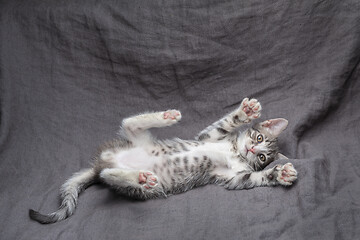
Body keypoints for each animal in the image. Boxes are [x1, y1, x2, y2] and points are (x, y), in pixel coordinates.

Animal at [29, 96, 296, 224]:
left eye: (262, 156)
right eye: (258, 136)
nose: (251, 148)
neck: (234, 151)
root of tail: (101, 163)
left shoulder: (232, 178)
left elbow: (256, 178)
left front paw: (280, 173)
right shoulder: (209, 136)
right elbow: (227, 121)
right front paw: (246, 112)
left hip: (144, 186)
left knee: (108, 176)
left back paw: (139, 177)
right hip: (137, 140)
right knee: (128, 123)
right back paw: (166, 117)